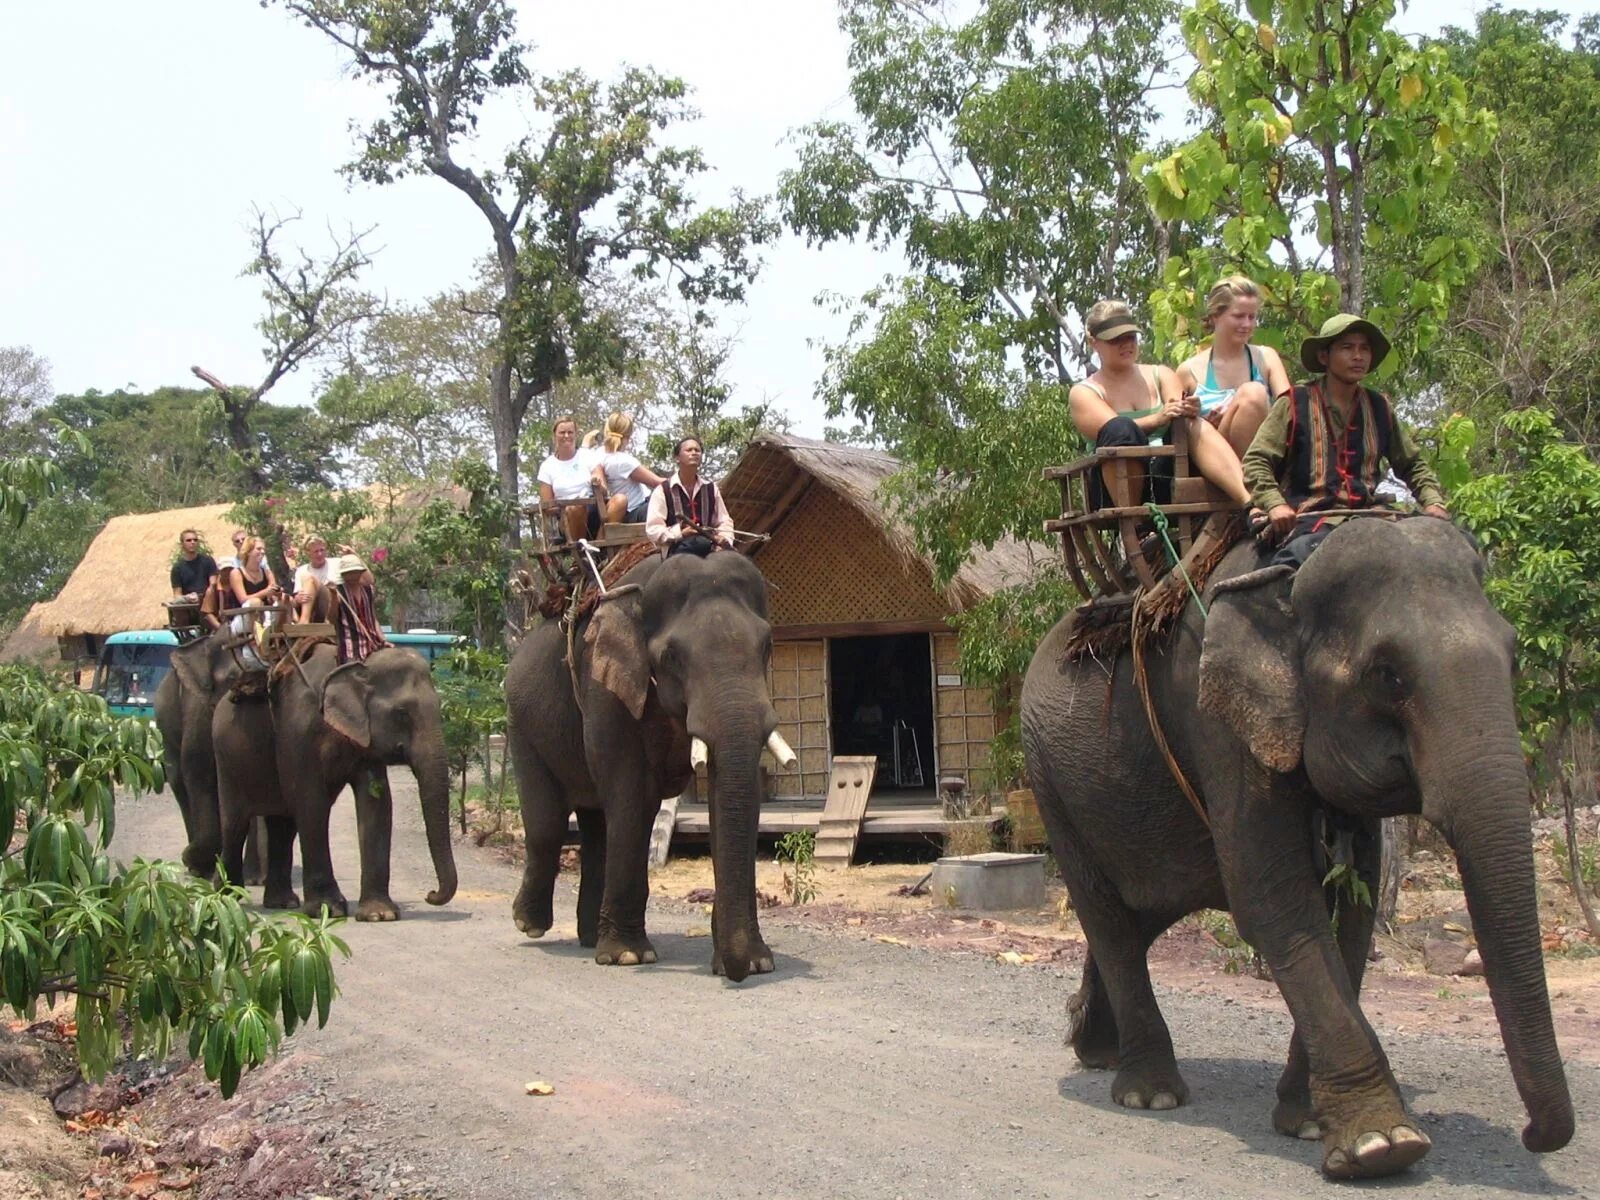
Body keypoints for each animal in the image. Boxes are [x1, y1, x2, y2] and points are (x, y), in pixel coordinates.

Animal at [209, 649, 454, 921]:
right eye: (402, 713)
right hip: (226, 757)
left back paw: (282, 902)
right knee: (235, 823)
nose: (430, 894)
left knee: (282, 825)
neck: (357, 664)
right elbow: (311, 803)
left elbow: (377, 804)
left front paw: (379, 914)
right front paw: (328, 909)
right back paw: (226, 896)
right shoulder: (300, 732)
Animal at [505, 550, 793, 979]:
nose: (737, 972)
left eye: (767, 646)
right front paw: (628, 956)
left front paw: (756, 962)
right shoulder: (605, 683)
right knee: (548, 824)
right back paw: (531, 924)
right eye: (672, 656)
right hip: (521, 725)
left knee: (595, 824)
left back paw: (589, 936)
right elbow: (632, 796)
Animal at [1017, 518, 1568, 1184]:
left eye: (1513, 657)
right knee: (1108, 918)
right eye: (1389, 675)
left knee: (1136, 918)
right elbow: (1274, 900)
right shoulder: (1218, 721)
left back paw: (1094, 1049)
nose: (1534, 1136)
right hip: (1051, 783)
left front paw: (1307, 1122)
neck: (1290, 577)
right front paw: (1381, 1146)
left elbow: (1352, 910)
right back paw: (1149, 1093)